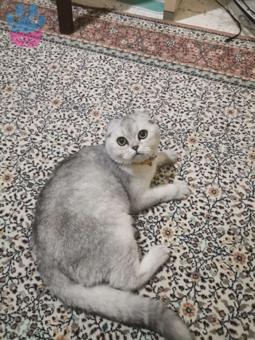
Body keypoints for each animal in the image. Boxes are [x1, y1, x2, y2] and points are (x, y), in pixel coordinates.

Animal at [32, 109, 193, 340]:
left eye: (142, 134)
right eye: (121, 141)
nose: (134, 147)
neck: (142, 167)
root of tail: (44, 259)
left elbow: (159, 156)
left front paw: (167, 155)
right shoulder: (139, 198)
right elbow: (164, 190)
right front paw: (178, 187)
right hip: (118, 229)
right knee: (127, 280)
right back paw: (158, 253)